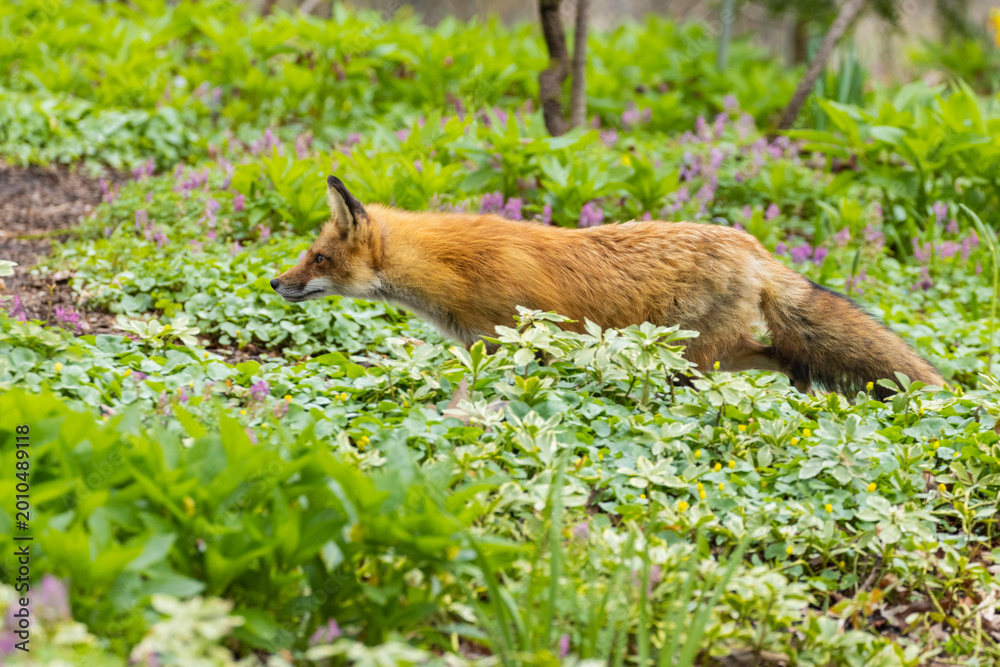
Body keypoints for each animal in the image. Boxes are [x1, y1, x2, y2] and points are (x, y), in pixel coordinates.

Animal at [271, 175, 943, 398]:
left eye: (319, 257)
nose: (276, 281)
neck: (452, 269)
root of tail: (752, 245)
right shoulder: (486, 348)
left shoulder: (524, 341)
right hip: (710, 354)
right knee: (786, 356)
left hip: (693, 358)